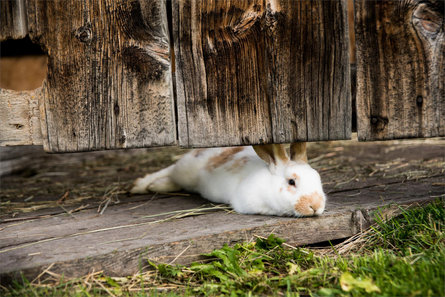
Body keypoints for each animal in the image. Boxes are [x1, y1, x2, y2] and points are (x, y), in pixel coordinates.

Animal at [130, 143, 324, 215]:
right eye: (291, 182)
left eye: (318, 178)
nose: (315, 206)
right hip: (185, 171)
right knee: (170, 171)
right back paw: (142, 185)